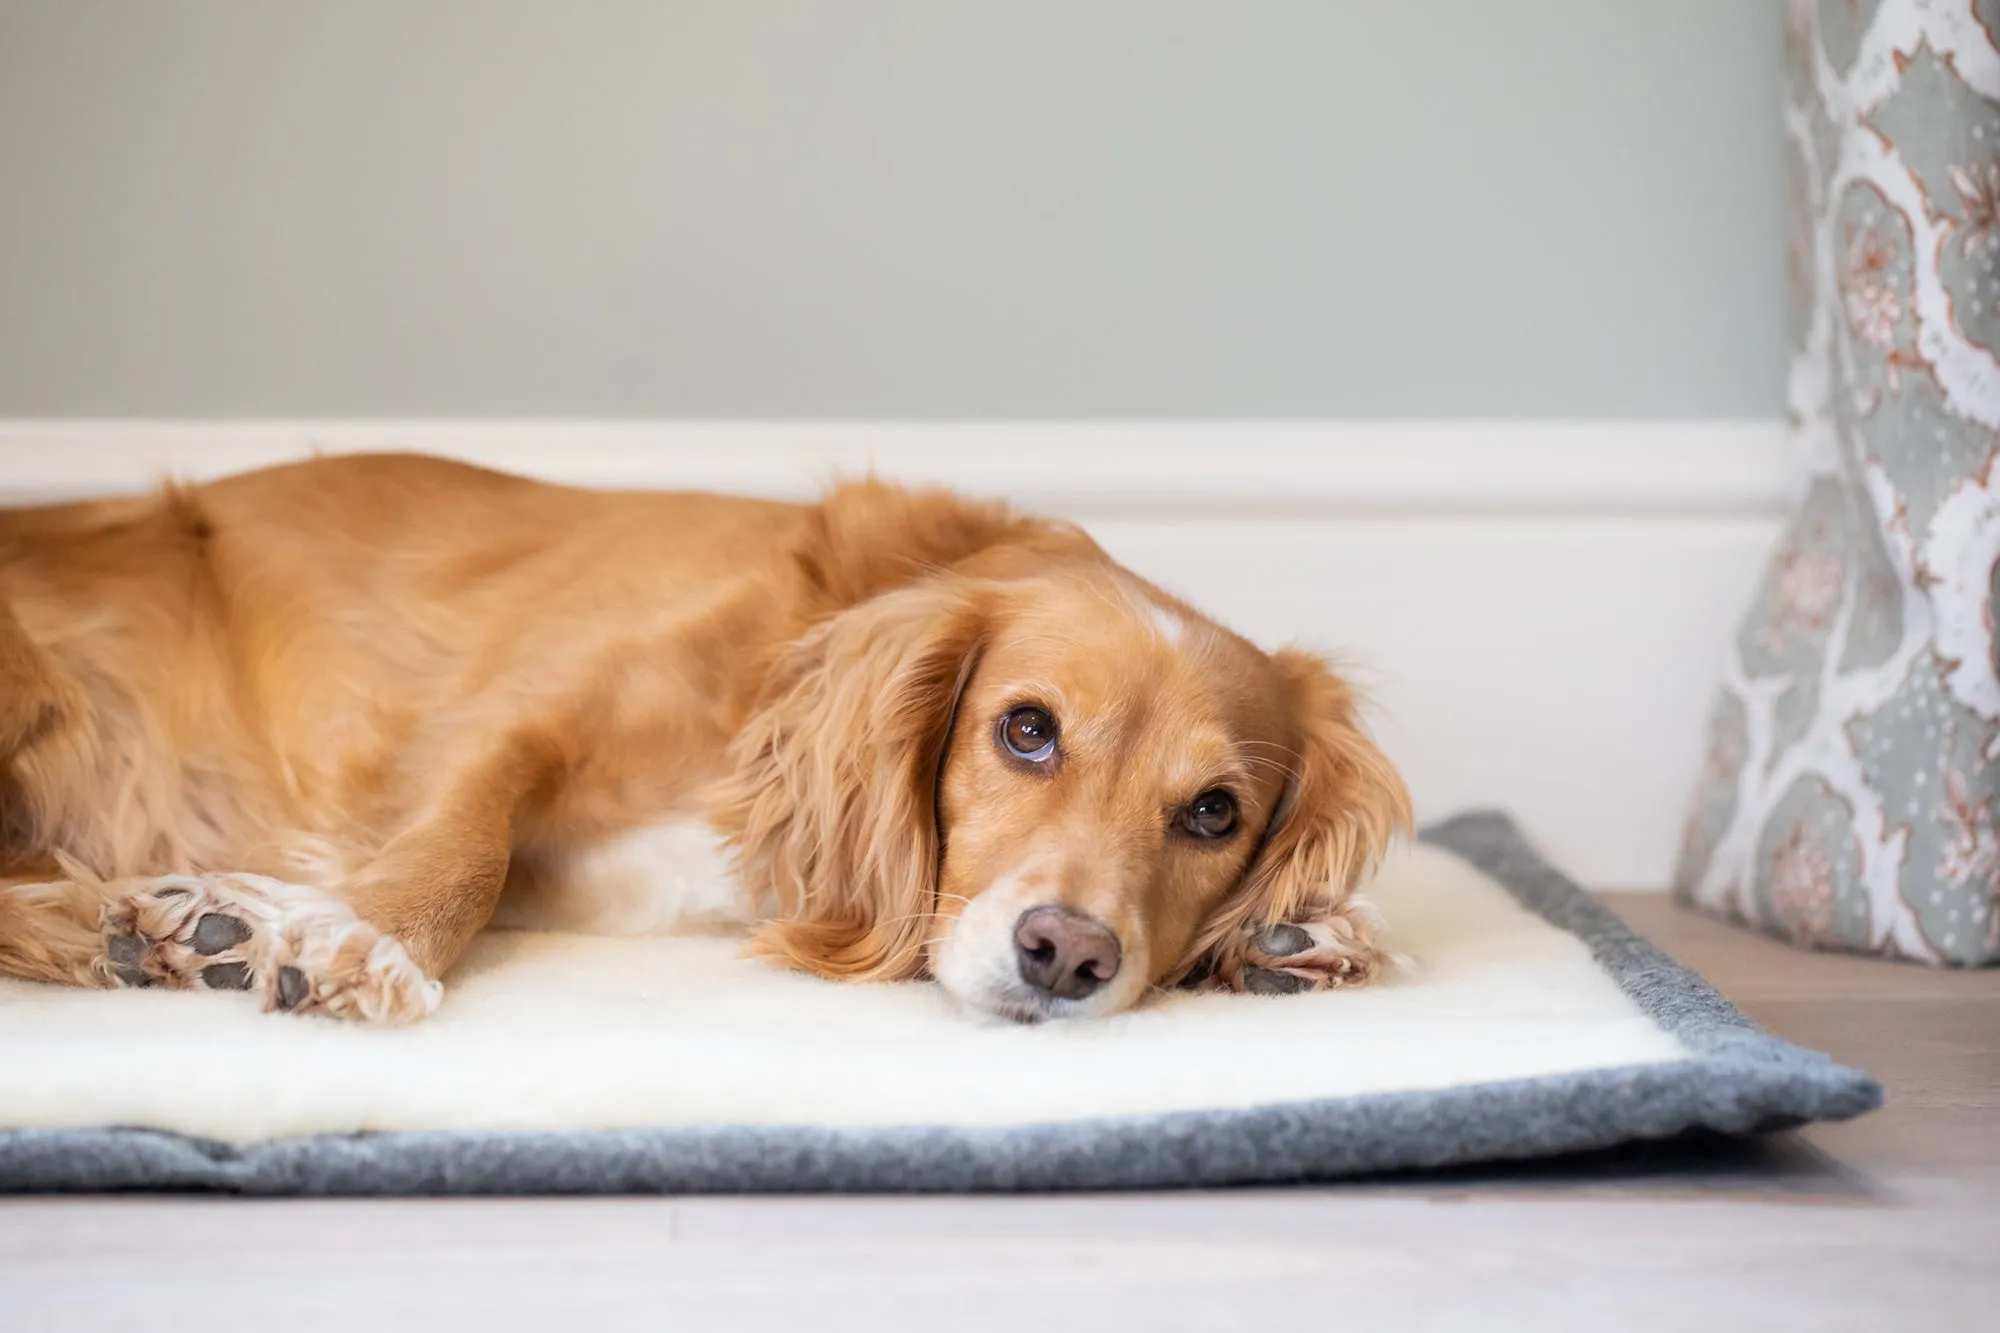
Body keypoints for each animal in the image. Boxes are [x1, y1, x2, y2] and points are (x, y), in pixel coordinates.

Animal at [0, 452, 1408, 1020]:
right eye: (1025, 730)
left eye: (1214, 813)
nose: (1065, 955)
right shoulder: (509, 717)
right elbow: (459, 850)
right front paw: (358, 939)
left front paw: (1289, 936)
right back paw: (154, 923)